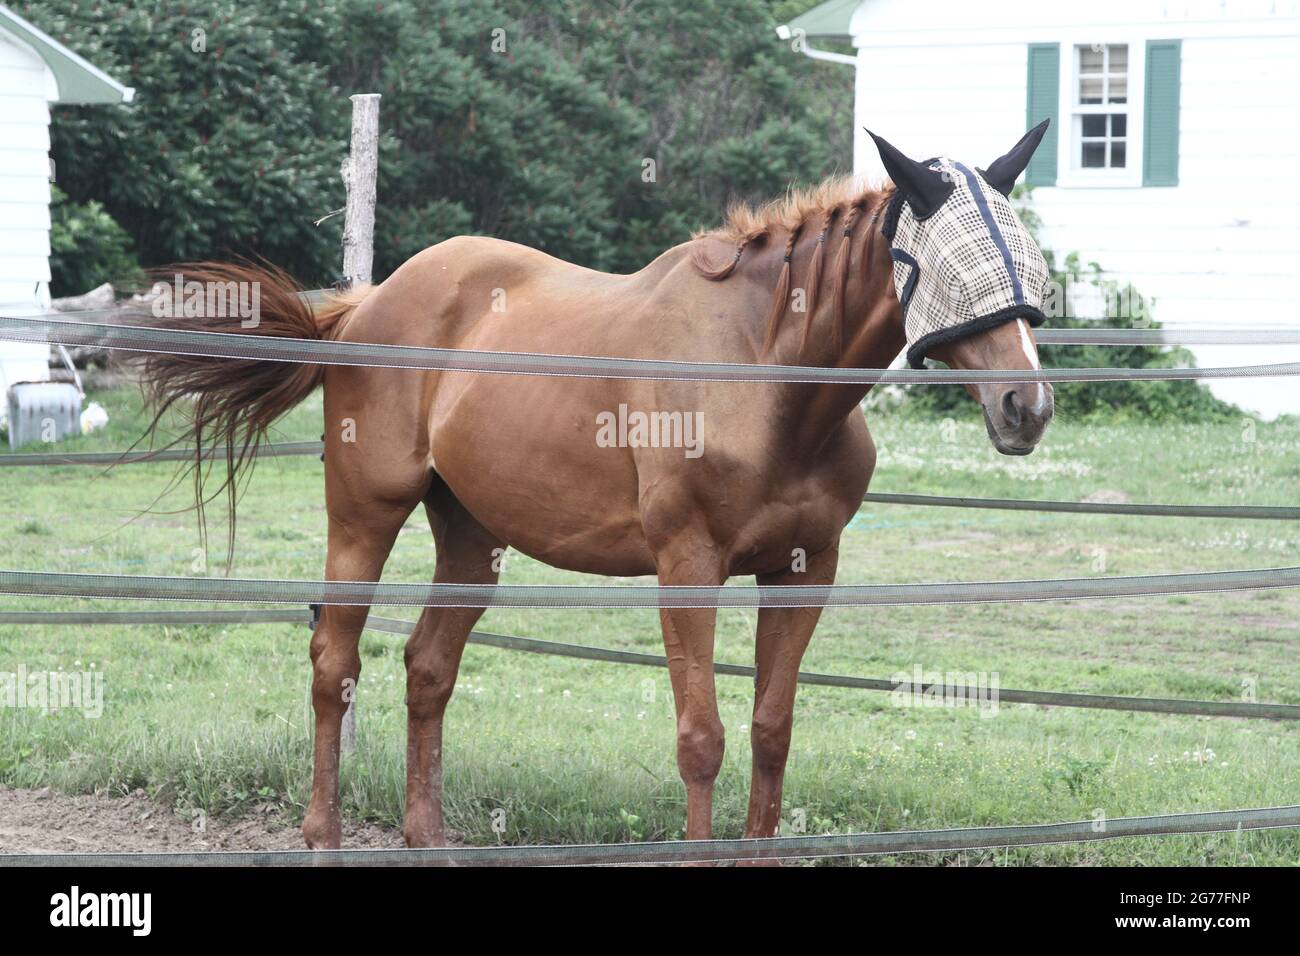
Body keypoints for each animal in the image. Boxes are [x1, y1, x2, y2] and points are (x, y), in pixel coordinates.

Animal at [134, 125, 1054, 851]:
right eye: (954, 267)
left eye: (1030, 263)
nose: (1027, 405)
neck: (767, 373)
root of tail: (362, 307)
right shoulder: (689, 567)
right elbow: (702, 740)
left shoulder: (804, 571)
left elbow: (771, 732)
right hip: (365, 515)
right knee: (335, 663)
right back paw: (322, 834)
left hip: (472, 535)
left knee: (428, 667)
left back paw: (429, 837)